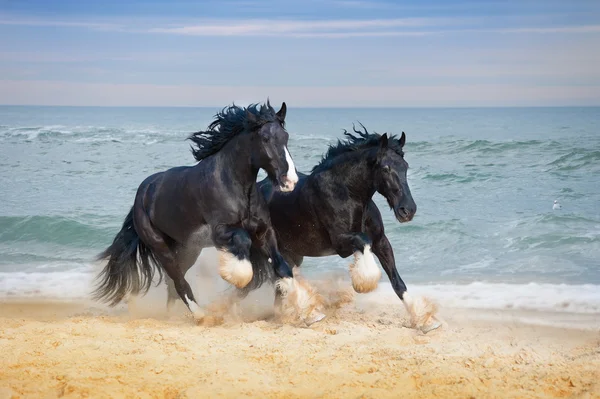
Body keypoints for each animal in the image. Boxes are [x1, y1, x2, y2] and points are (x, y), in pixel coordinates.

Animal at [94, 101, 326, 326]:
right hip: (161, 247)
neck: (235, 185)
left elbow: (282, 267)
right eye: (265, 138)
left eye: (286, 137)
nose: (290, 181)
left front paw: (310, 313)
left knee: (173, 283)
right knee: (179, 281)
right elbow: (243, 243)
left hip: (187, 249)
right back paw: (201, 315)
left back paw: (174, 315)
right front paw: (236, 275)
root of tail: (143, 193)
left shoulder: (264, 231)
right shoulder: (220, 232)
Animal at [237, 126, 438, 332]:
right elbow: (363, 241)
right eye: (386, 168)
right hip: (266, 246)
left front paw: (424, 321)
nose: (408, 210)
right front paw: (363, 282)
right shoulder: (340, 242)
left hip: (291, 255)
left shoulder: (381, 241)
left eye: (405, 166)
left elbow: (397, 281)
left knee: (280, 285)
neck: (347, 193)